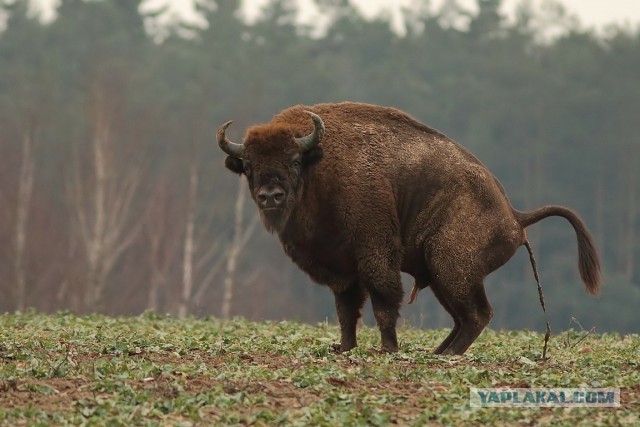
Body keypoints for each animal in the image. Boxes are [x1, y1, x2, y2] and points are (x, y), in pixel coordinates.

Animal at [216, 102, 600, 356]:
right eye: (248, 165)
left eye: (294, 161)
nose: (270, 196)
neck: (321, 166)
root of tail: (514, 216)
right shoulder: (342, 270)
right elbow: (346, 310)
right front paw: (344, 348)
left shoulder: (375, 255)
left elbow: (384, 302)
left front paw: (388, 349)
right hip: (442, 278)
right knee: (463, 318)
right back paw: (438, 352)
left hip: (451, 267)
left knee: (477, 314)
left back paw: (447, 355)